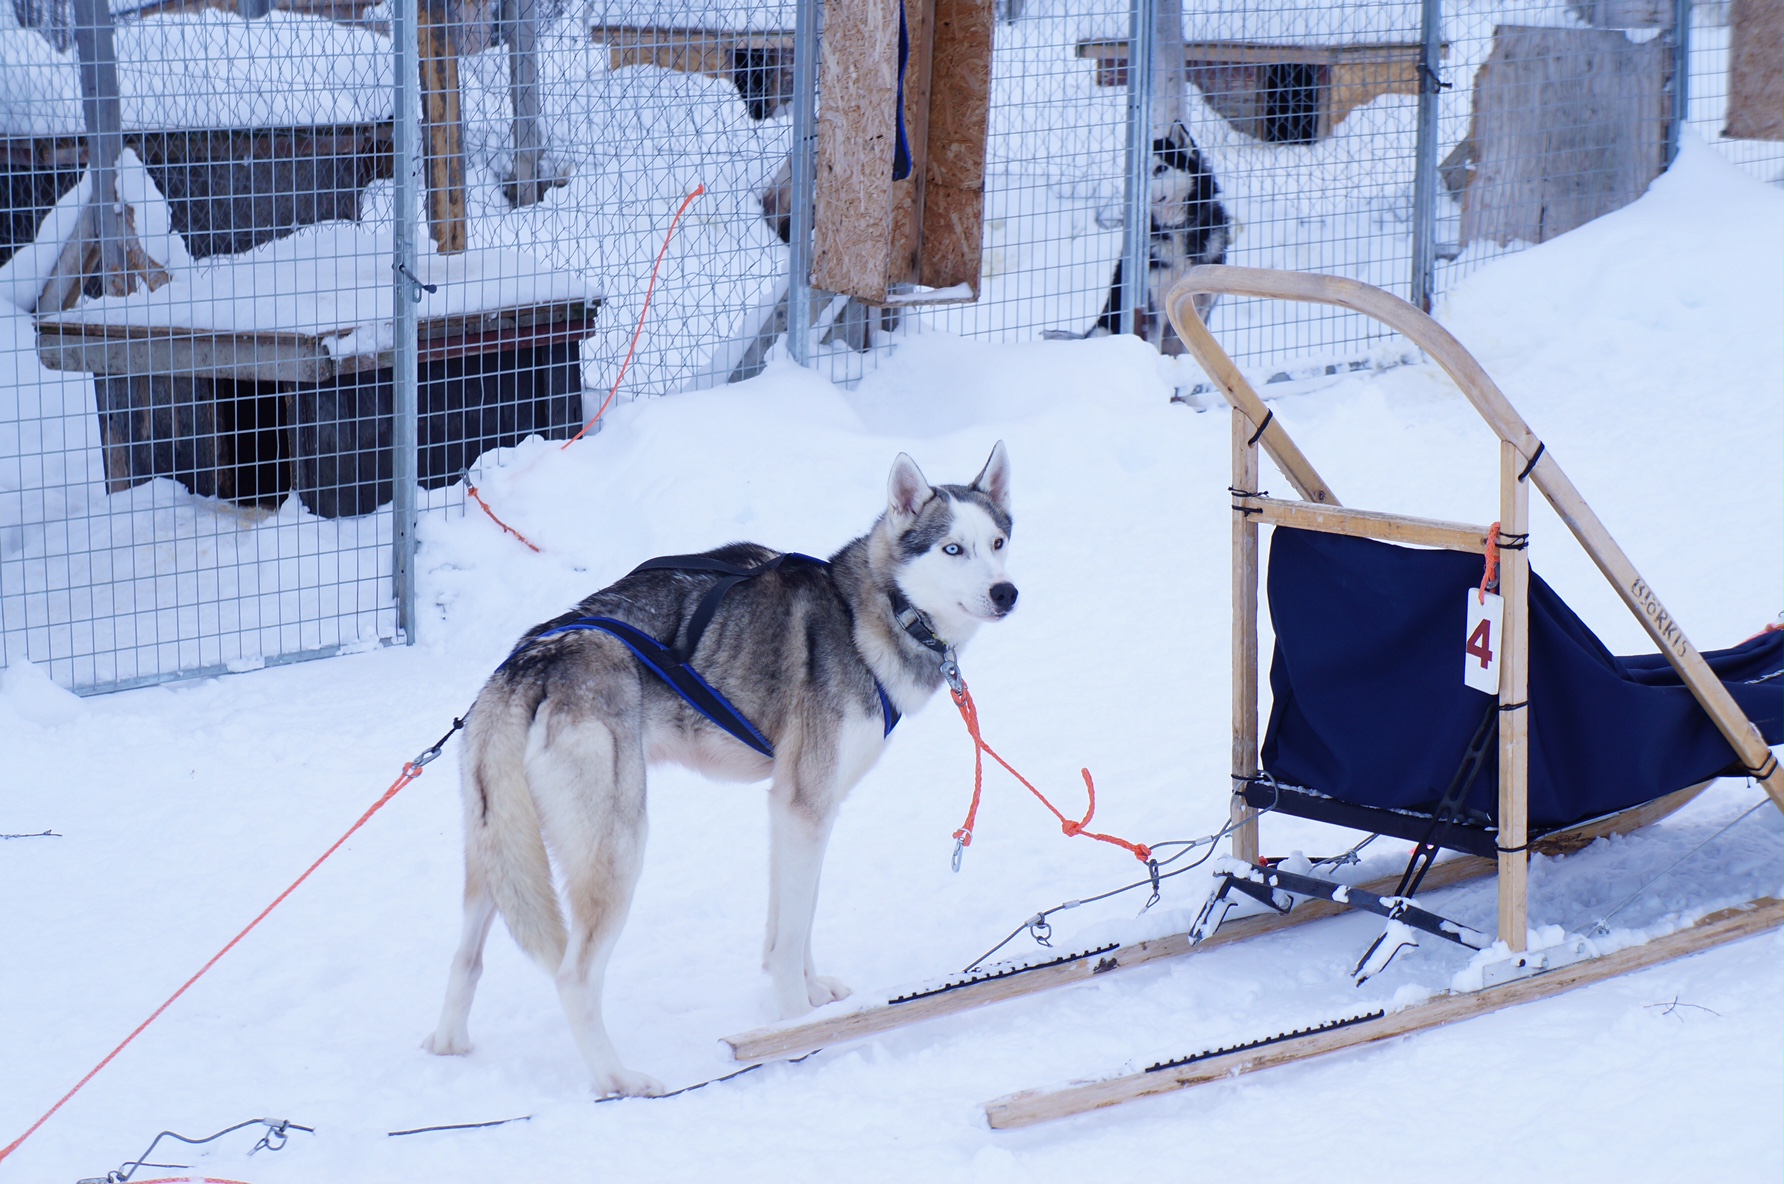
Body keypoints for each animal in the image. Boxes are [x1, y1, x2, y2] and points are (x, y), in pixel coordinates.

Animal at [424, 445, 1020, 1098]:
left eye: (997, 542)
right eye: (952, 548)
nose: (1006, 592)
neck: (871, 612)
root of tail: (531, 661)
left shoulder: (799, 810)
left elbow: (793, 922)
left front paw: (814, 996)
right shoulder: (805, 805)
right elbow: (789, 939)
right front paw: (799, 1028)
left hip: (497, 848)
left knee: (465, 957)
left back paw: (449, 1046)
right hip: (617, 846)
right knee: (574, 976)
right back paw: (619, 1079)